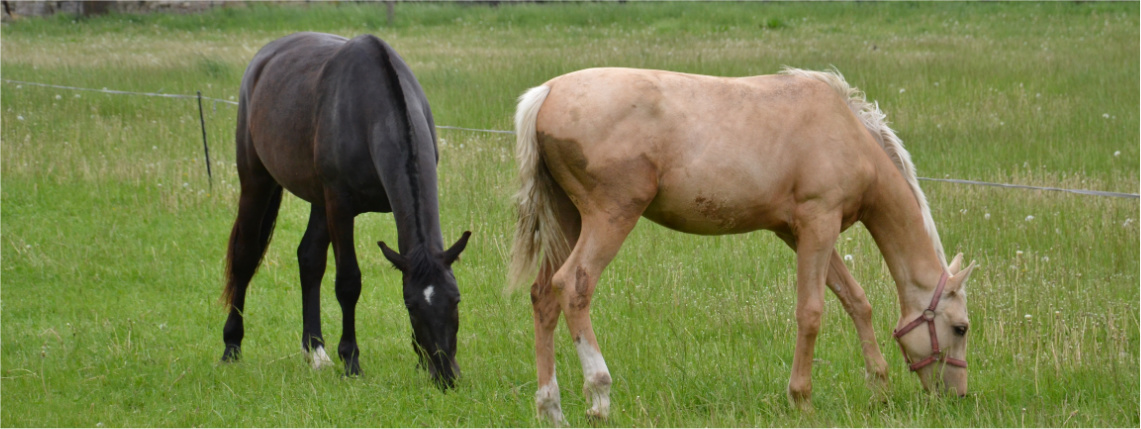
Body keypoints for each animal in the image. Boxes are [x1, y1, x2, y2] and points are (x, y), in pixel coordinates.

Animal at [217, 31, 467, 387]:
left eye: (455, 299)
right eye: (411, 306)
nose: (446, 375)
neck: (371, 109)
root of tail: (263, 58)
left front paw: (418, 360)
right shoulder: (340, 204)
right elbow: (348, 282)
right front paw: (351, 360)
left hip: (318, 200)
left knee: (309, 259)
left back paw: (315, 351)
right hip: (258, 181)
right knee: (245, 256)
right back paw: (232, 345)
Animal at [513, 67, 976, 422]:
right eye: (960, 328)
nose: (957, 396)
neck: (847, 134)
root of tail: (547, 92)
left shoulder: (798, 233)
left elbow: (856, 301)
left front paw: (878, 385)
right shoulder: (819, 224)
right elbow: (811, 312)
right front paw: (801, 399)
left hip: (569, 221)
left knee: (544, 296)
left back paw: (551, 407)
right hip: (610, 218)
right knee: (573, 285)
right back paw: (599, 394)